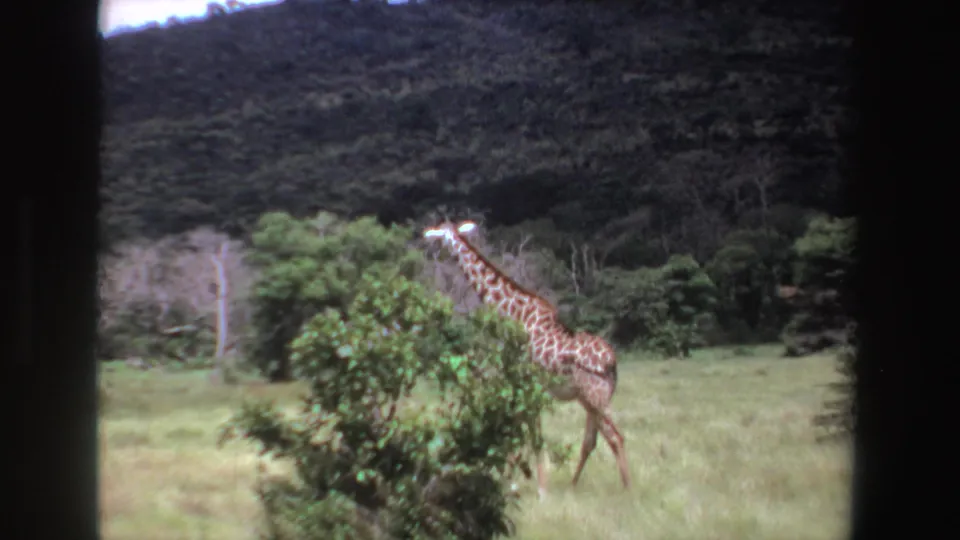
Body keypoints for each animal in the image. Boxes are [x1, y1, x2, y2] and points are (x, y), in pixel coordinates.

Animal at [423, 220, 631, 497]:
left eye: (439, 232)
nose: (426, 235)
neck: (515, 314)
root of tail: (611, 362)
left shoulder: (526, 382)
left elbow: (531, 435)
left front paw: (538, 489)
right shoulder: (525, 385)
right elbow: (520, 432)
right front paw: (519, 481)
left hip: (595, 395)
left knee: (615, 437)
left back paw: (628, 490)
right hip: (589, 398)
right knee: (592, 441)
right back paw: (573, 487)